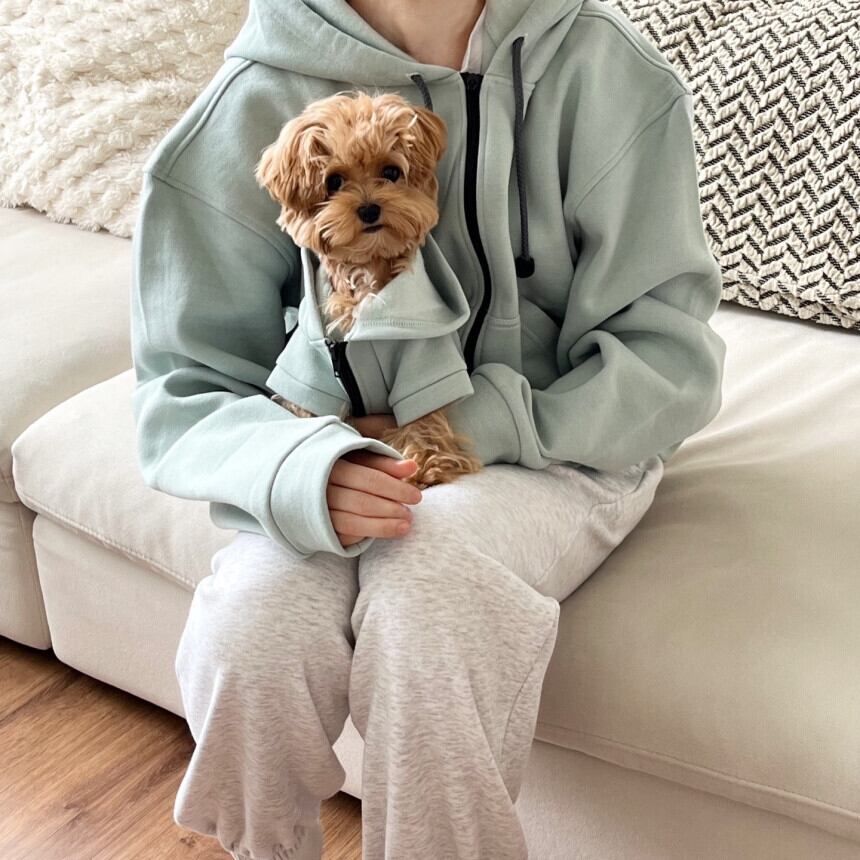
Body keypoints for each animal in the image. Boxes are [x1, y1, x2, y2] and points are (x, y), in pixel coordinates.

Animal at [254, 90, 482, 489]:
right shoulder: (310, 370)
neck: (366, 275)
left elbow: (423, 413)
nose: (369, 208)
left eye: (390, 172)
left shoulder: (424, 360)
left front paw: (429, 460)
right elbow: (309, 413)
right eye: (333, 182)